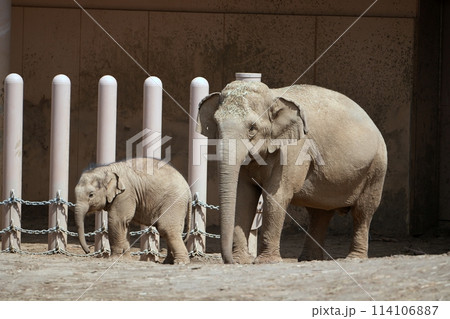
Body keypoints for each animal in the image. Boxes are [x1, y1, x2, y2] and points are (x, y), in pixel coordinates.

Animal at [197, 82, 386, 264]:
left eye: (252, 128)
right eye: (216, 125)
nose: (229, 261)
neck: (273, 96)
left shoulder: (294, 149)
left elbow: (276, 196)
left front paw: (266, 262)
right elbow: (243, 197)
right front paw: (240, 260)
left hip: (376, 168)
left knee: (363, 210)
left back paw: (354, 258)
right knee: (320, 212)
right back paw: (310, 259)